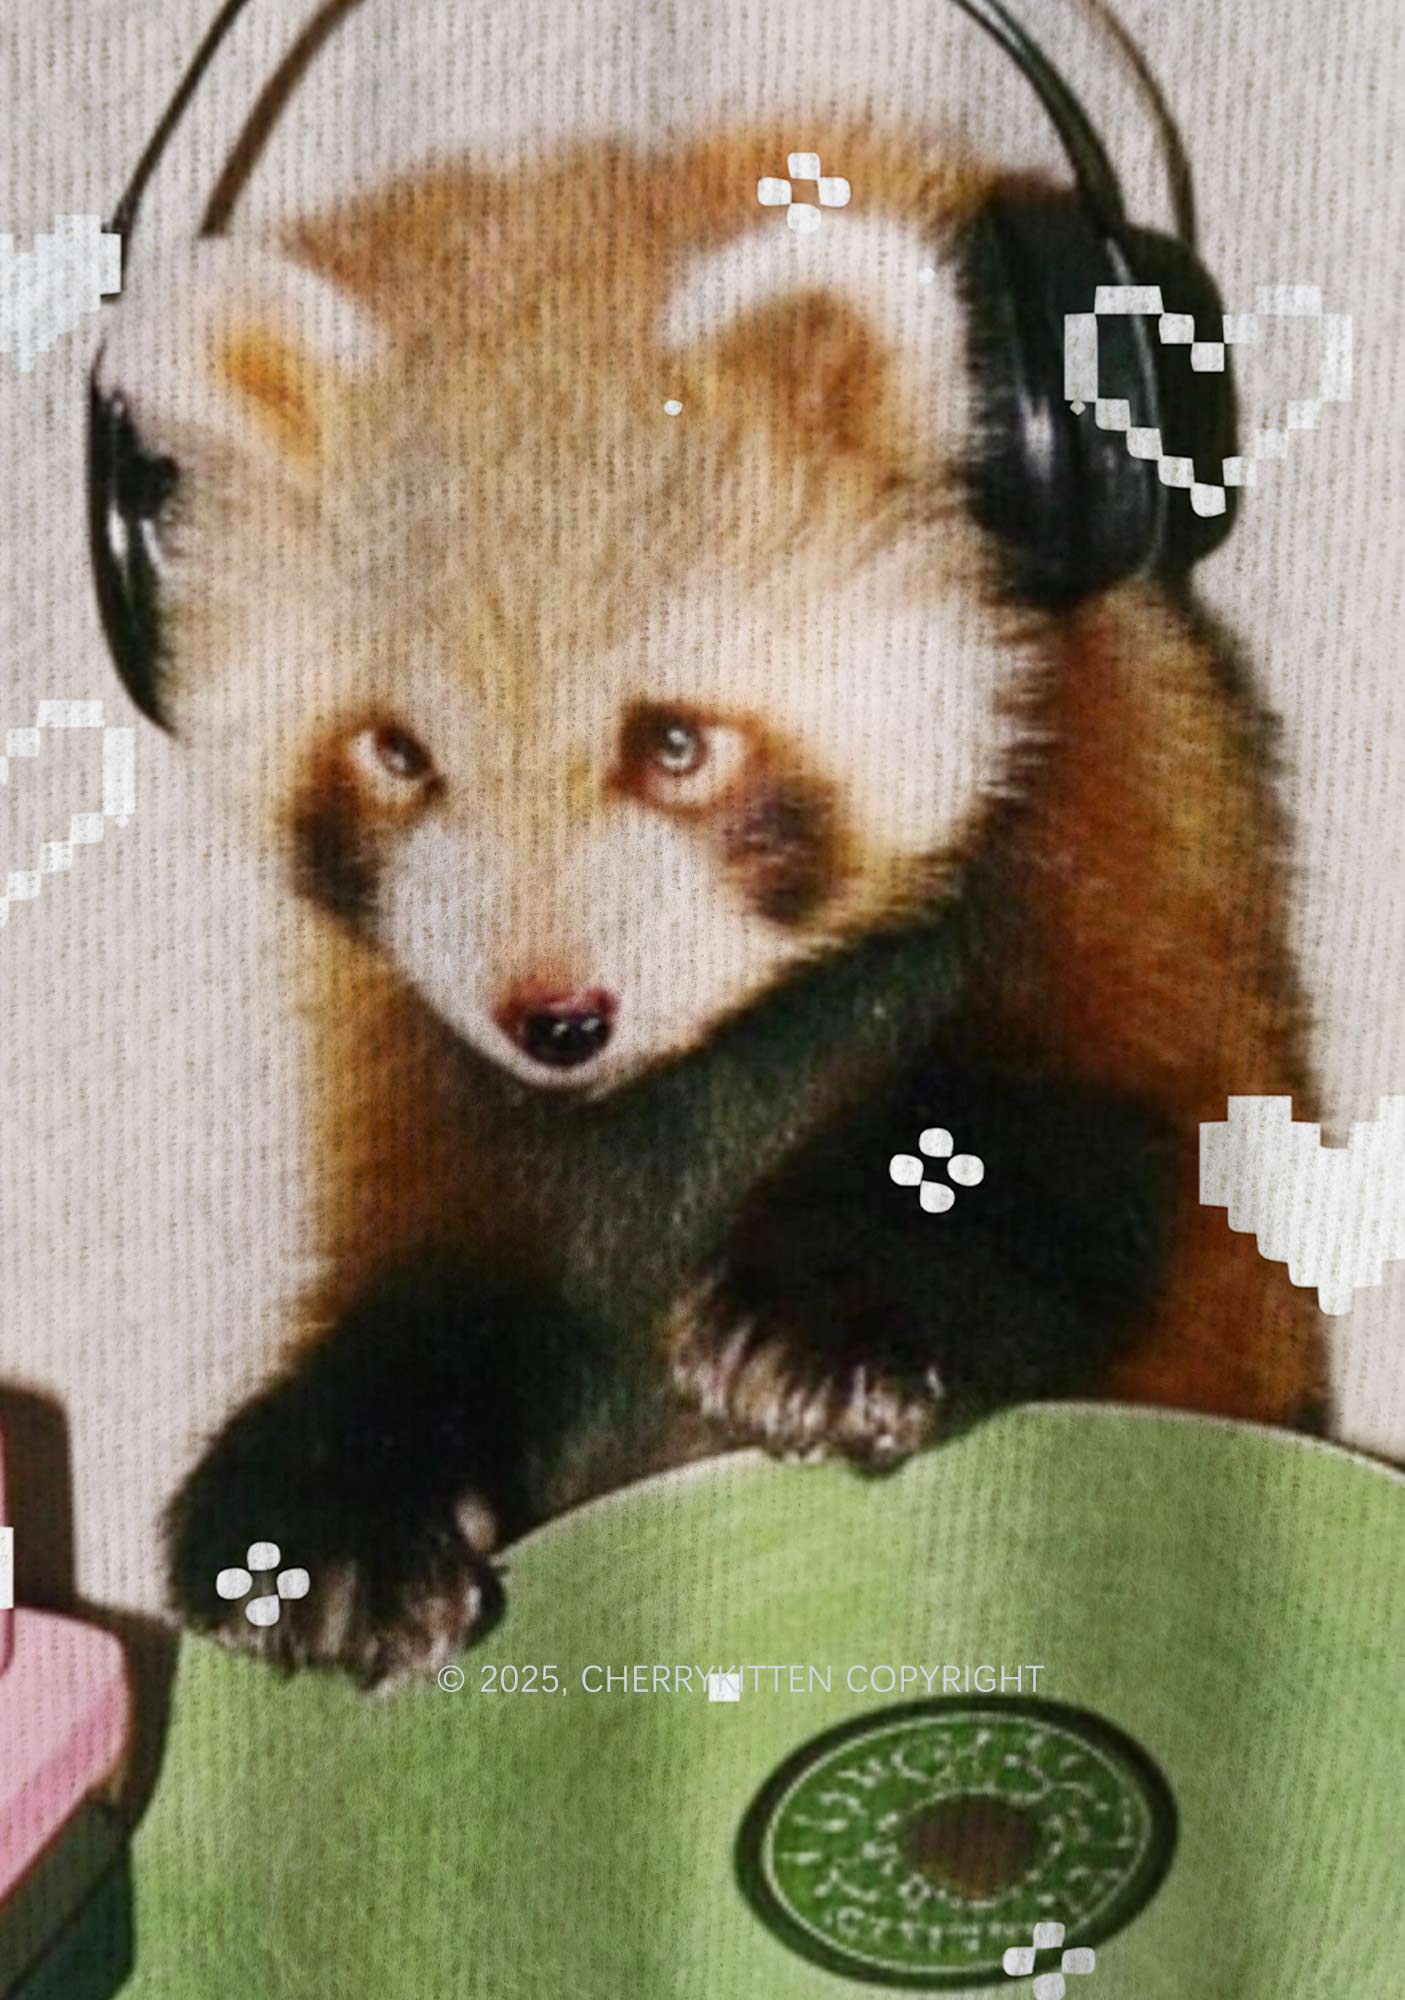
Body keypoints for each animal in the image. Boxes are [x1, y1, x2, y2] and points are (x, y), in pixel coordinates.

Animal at [91, 120, 1325, 1690]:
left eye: (673, 744)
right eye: (399, 755)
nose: (554, 1017)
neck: (713, 1073)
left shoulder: (1128, 873)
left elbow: (1071, 1145)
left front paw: (822, 1321)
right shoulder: (427, 1083)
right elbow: (442, 1294)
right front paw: (322, 1514)